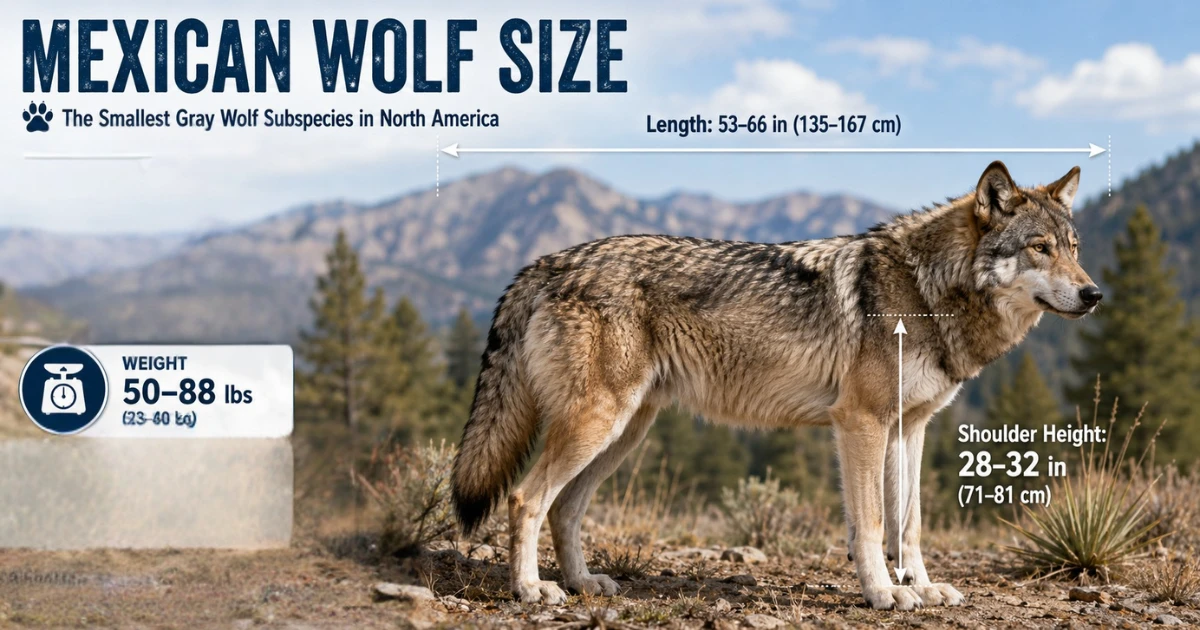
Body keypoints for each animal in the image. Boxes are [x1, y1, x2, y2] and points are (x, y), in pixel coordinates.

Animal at [451, 161, 1099, 610]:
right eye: (1039, 248)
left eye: (1074, 249)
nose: (1094, 294)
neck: (926, 291)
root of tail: (548, 262)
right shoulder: (860, 422)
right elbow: (871, 525)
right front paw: (885, 594)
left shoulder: (909, 429)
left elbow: (910, 525)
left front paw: (923, 586)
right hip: (598, 424)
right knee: (526, 498)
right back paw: (532, 591)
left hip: (623, 434)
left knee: (565, 507)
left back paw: (583, 582)